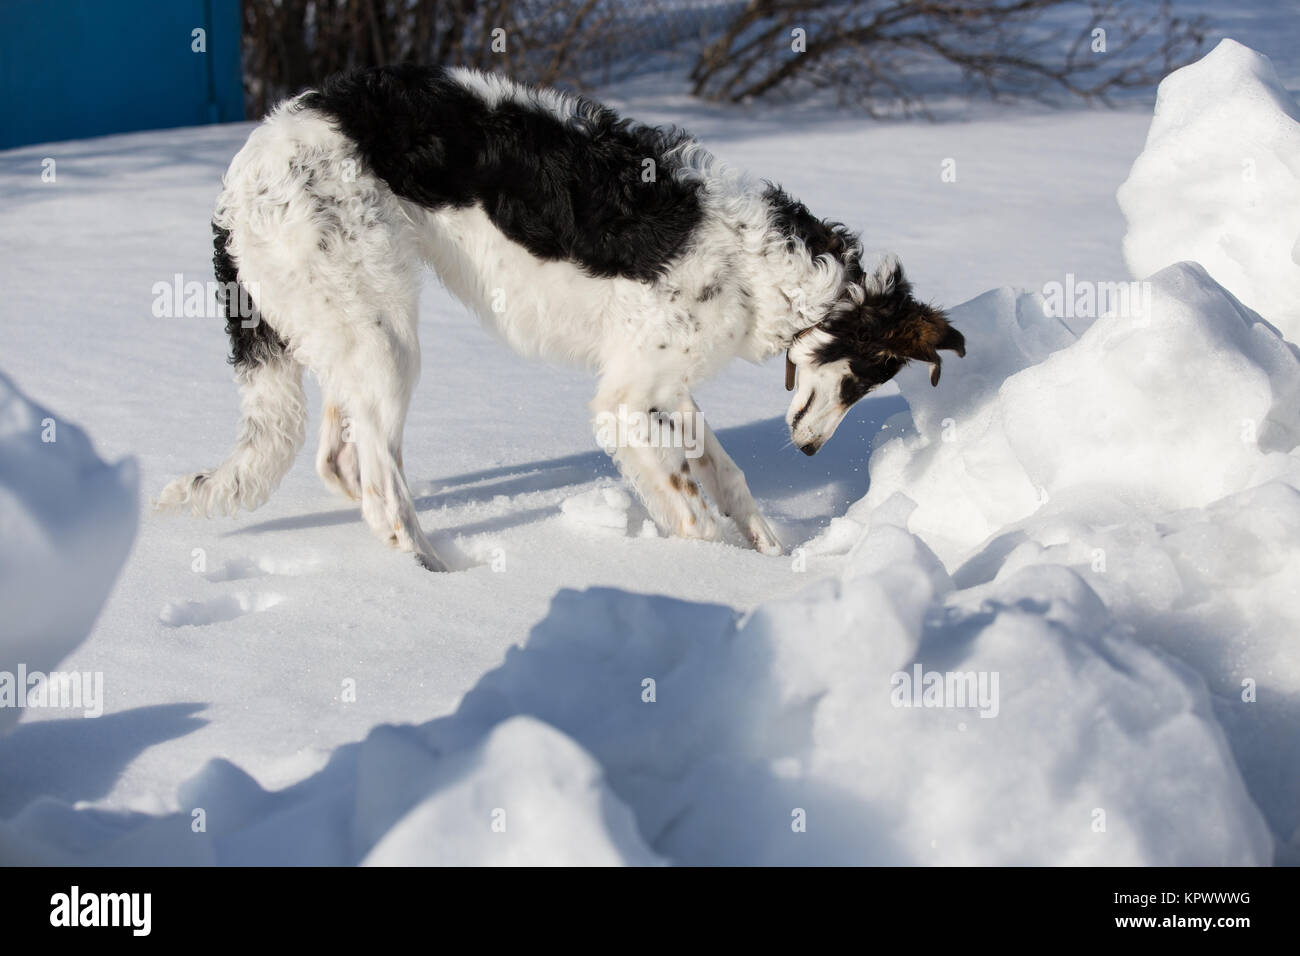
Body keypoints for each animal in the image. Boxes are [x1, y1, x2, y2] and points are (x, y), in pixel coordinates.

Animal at [154, 67, 967, 574]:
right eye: (860, 380)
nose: (808, 452)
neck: (767, 262)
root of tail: (242, 172)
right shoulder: (623, 402)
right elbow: (694, 512)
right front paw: (714, 576)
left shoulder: (665, 388)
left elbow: (727, 477)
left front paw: (772, 554)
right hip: (385, 342)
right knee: (381, 485)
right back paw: (434, 574)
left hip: (353, 333)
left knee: (339, 462)